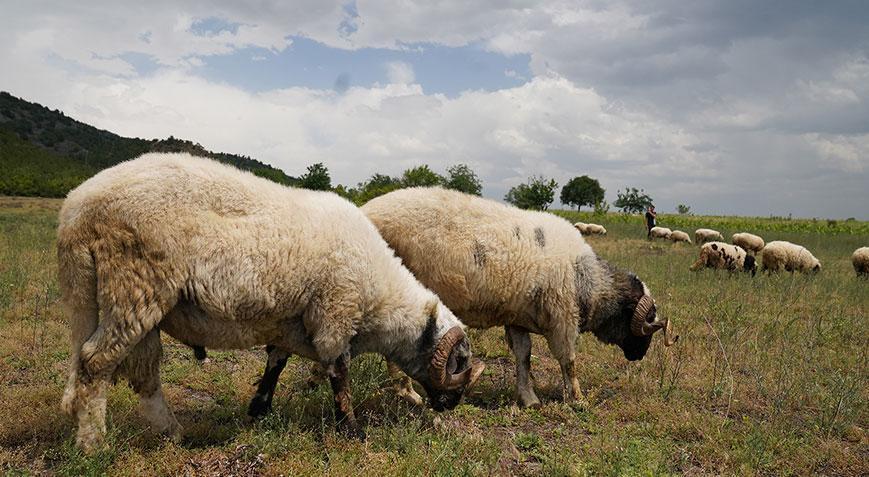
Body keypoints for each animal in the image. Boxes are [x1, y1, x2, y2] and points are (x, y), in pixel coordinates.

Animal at [57, 154, 484, 452]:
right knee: (95, 362)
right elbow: (339, 374)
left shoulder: (291, 322)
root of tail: (76, 209)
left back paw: (172, 434)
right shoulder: (335, 314)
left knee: (141, 374)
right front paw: (352, 431)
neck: (381, 299)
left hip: (122, 298)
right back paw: (94, 445)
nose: (452, 404)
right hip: (134, 283)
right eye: (459, 361)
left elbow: (275, 363)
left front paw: (259, 409)